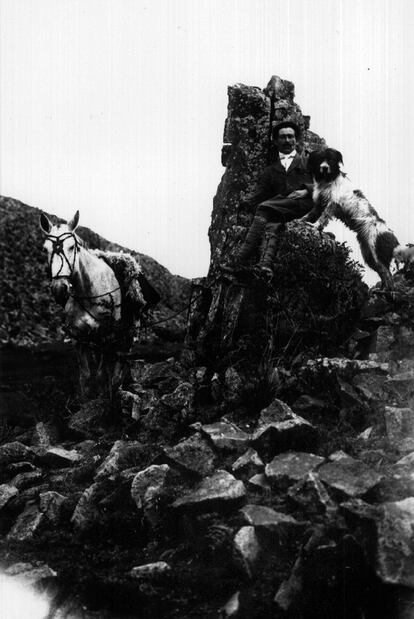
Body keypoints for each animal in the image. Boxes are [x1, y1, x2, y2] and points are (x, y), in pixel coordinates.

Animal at [39, 211, 132, 404]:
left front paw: (102, 399)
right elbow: (86, 376)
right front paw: (84, 402)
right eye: (45, 249)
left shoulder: (105, 336)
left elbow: (101, 372)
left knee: (119, 358)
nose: (59, 289)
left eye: (72, 247)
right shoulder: (80, 338)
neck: (88, 292)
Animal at [304, 148, 408, 290]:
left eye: (330, 159)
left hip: (376, 253)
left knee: (388, 277)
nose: (324, 167)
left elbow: (322, 218)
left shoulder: (333, 204)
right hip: (368, 254)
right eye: (320, 159)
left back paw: (386, 291)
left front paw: (315, 227)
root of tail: (394, 240)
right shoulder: (320, 203)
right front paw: (303, 221)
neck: (328, 180)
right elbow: (312, 215)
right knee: (383, 274)